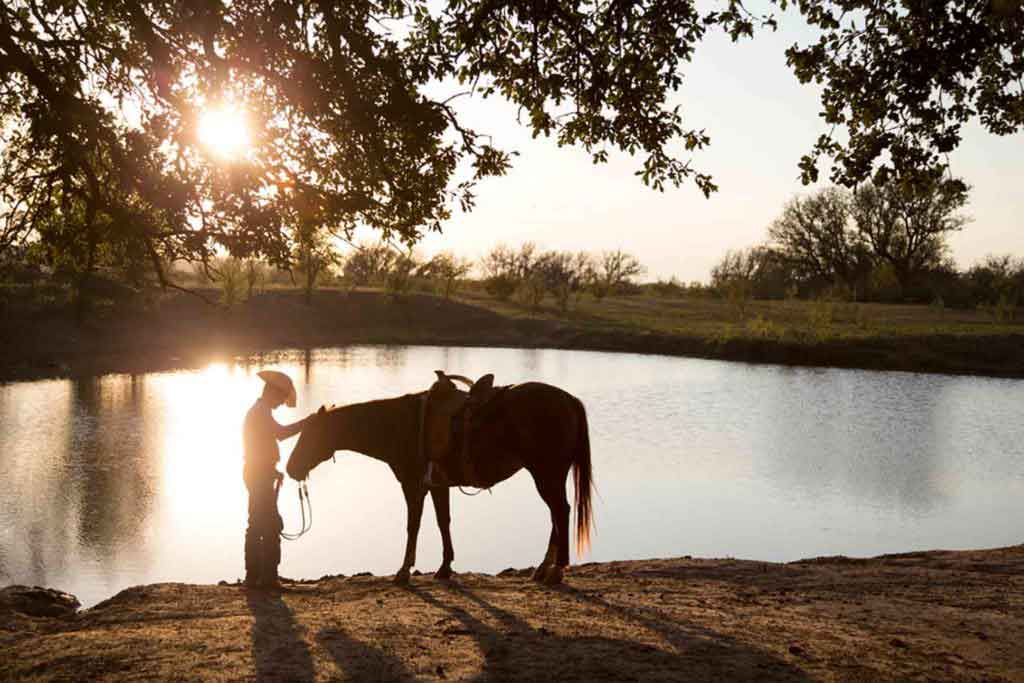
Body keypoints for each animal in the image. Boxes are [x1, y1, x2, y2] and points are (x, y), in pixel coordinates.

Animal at [284, 374, 598, 589]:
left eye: (310, 435)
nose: (290, 468)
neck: (401, 424)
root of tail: (569, 400)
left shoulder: (413, 486)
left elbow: (413, 525)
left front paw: (404, 571)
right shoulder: (437, 486)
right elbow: (443, 522)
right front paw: (445, 567)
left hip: (547, 473)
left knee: (560, 512)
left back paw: (556, 570)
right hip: (548, 475)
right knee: (556, 515)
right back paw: (543, 569)